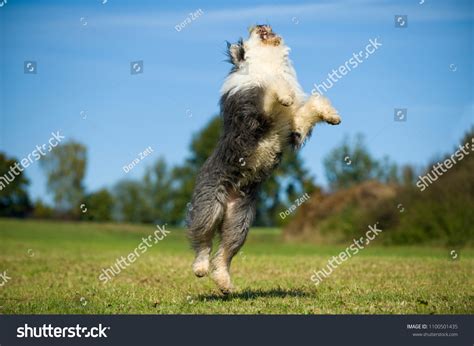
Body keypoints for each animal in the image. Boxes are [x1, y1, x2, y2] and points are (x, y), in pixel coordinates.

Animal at [186, 25, 340, 294]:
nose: (259, 24)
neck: (268, 64)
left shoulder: (294, 128)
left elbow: (311, 106)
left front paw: (331, 115)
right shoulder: (254, 114)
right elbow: (269, 86)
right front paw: (285, 94)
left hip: (240, 222)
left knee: (224, 254)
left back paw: (225, 284)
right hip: (210, 207)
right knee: (202, 241)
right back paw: (200, 268)